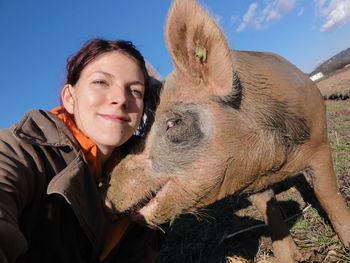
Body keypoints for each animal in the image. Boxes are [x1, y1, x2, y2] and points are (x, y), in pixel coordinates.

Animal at [106, 0, 350, 262]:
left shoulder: (319, 143)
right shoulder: (250, 182)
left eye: (174, 122)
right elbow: (271, 216)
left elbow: (329, 196)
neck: (272, 167)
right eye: (144, 125)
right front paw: (288, 257)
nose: (108, 189)